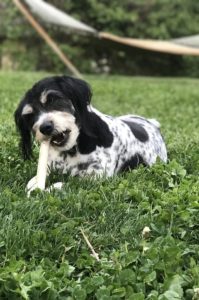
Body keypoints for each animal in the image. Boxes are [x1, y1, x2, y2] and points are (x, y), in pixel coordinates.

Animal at [14, 75, 167, 192]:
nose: (45, 127)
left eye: (53, 99)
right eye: (29, 116)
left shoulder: (98, 176)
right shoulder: (51, 167)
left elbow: (66, 183)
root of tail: (153, 124)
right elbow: (33, 180)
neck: (73, 150)